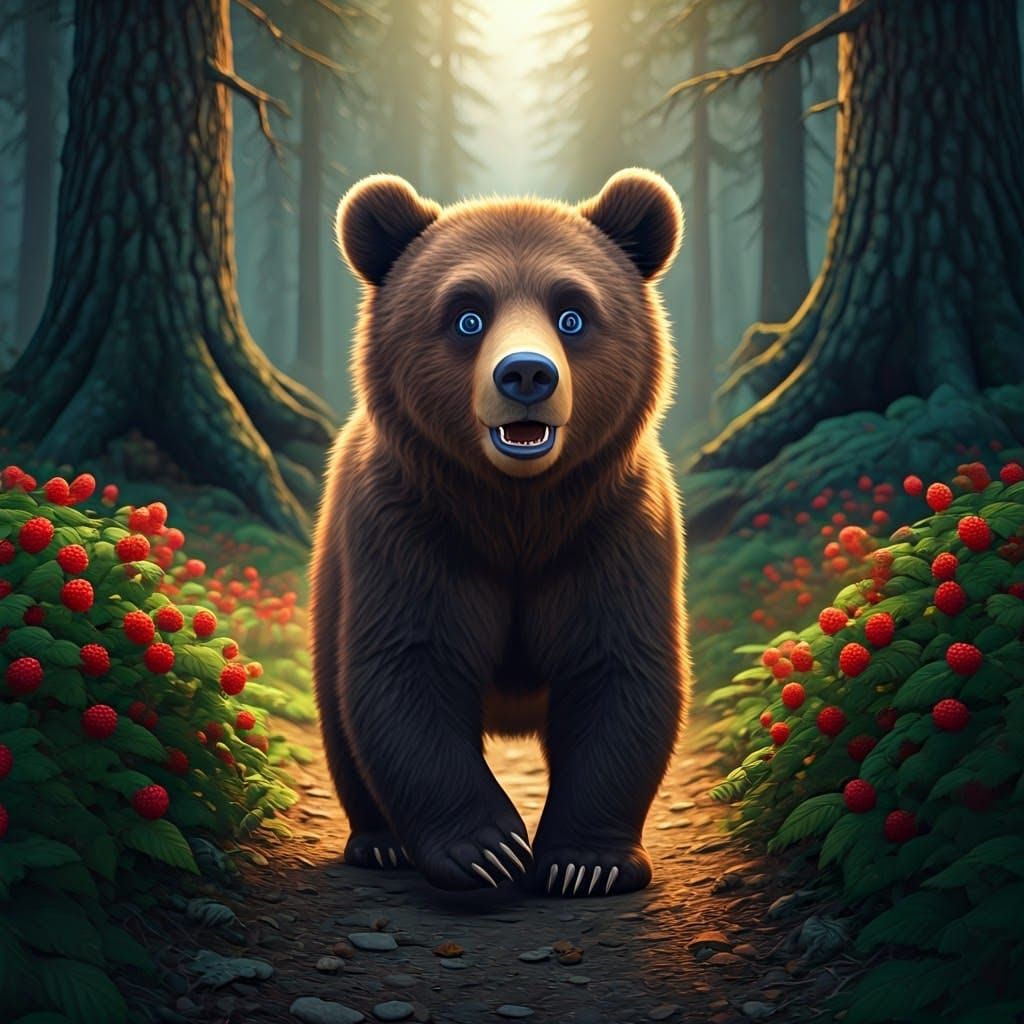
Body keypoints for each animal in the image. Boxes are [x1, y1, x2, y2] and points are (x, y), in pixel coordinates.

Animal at [310, 168, 689, 897]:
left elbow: (618, 668)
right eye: (467, 315)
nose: (526, 374)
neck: (517, 512)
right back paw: (379, 843)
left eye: (572, 314)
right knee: (338, 708)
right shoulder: (411, 528)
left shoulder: (613, 529)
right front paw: (487, 850)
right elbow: (408, 666)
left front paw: (585, 863)